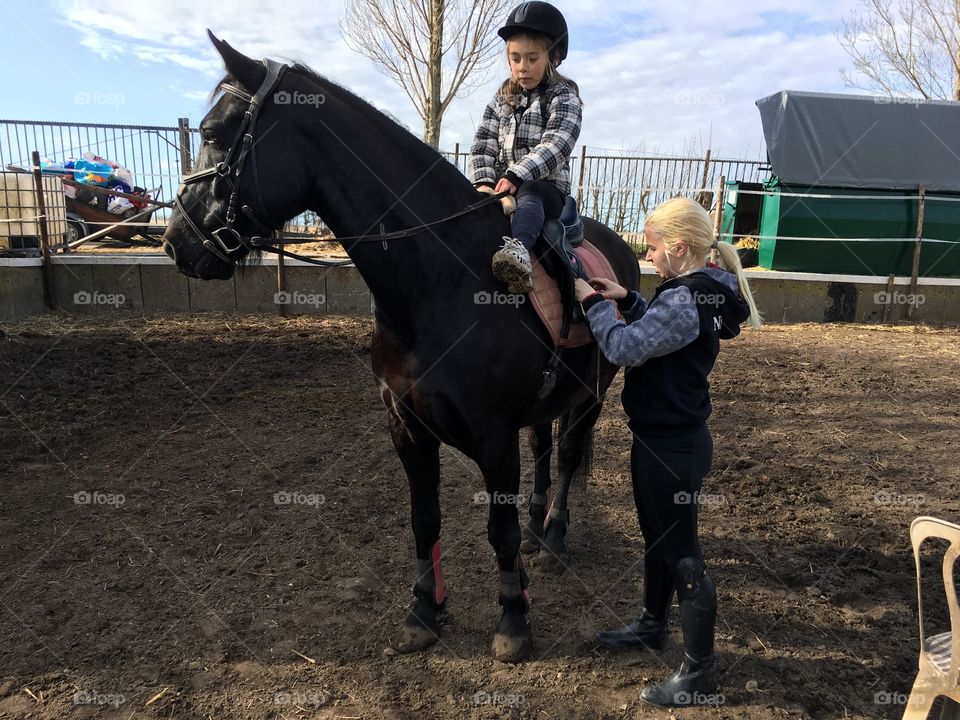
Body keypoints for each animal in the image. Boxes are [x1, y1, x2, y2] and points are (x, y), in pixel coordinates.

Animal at [161, 32, 640, 663]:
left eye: (216, 132)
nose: (177, 243)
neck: (441, 280)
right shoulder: (407, 429)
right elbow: (424, 519)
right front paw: (423, 611)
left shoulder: (493, 437)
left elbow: (499, 530)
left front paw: (513, 622)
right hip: (548, 403)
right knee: (544, 449)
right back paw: (541, 531)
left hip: (590, 396)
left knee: (564, 458)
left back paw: (555, 538)